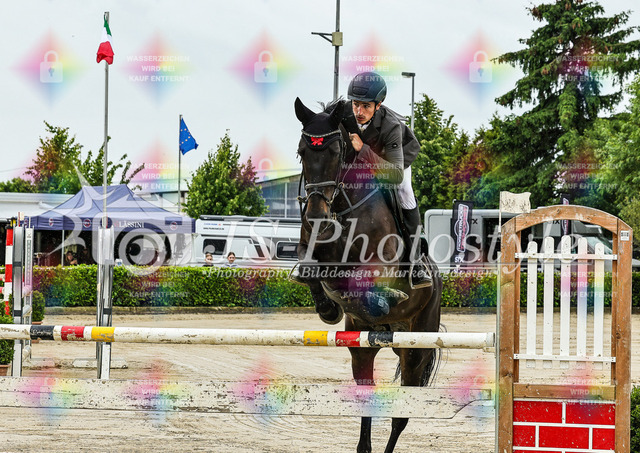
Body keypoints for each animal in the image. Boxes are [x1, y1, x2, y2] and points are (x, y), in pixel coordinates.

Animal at [294, 97, 443, 453]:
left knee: (401, 416)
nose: (317, 215)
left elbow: (365, 283)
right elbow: (310, 269)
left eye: (336, 151)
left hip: (415, 349)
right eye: (302, 152)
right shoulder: (311, 247)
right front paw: (328, 308)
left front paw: (381, 297)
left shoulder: (379, 264)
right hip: (362, 349)